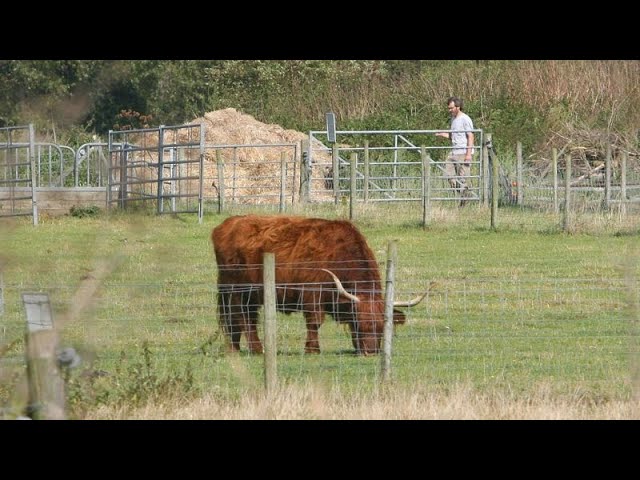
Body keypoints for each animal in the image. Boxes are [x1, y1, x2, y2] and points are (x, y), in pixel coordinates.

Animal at [212, 216, 428, 354]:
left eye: (381, 327)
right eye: (359, 324)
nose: (371, 352)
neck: (338, 255)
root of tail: (227, 224)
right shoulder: (312, 295)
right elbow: (314, 322)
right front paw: (312, 349)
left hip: (250, 295)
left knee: (244, 318)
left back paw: (237, 348)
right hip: (236, 291)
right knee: (239, 317)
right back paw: (255, 349)